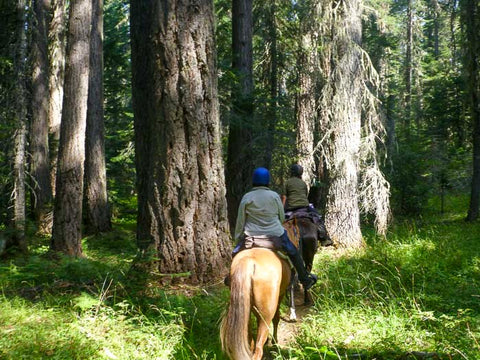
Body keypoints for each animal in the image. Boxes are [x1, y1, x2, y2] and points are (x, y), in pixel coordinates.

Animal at [219, 219, 298, 360]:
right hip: (266, 312)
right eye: (297, 233)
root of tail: (249, 262)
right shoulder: (281, 295)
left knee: (250, 343)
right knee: (258, 350)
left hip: (245, 312)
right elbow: (277, 318)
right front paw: (274, 343)